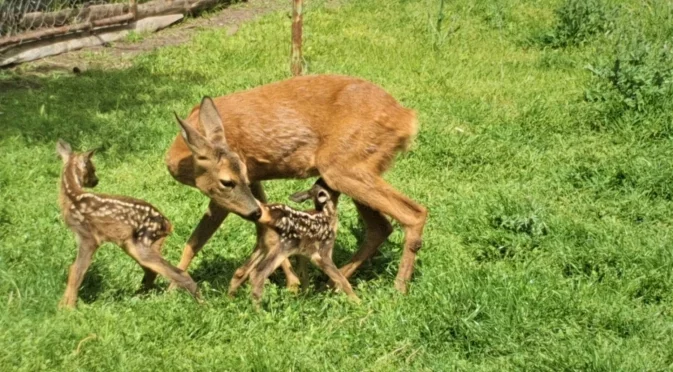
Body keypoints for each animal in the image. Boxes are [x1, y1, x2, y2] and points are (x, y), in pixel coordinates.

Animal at [56, 140, 200, 308]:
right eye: (93, 169)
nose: (96, 180)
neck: (71, 196)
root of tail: (168, 224)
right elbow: (74, 269)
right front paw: (63, 305)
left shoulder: (88, 236)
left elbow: (77, 270)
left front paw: (68, 308)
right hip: (140, 243)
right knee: (152, 271)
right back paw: (140, 296)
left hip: (142, 242)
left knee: (174, 272)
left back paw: (200, 302)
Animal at [228, 179, 360, 304]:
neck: (327, 215)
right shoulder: (323, 251)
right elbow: (340, 278)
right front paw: (356, 301)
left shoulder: (304, 253)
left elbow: (304, 275)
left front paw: (305, 298)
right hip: (283, 246)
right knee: (257, 275)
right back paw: (258, 309)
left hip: (263, 245)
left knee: (240, 272)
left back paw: (230, 299)